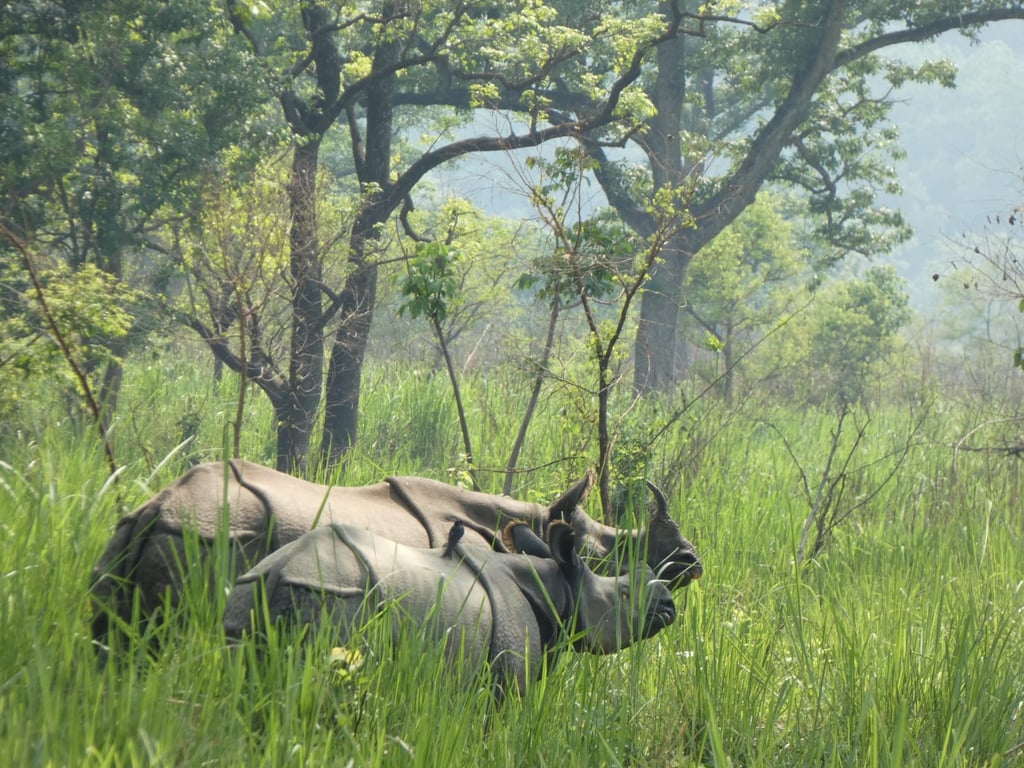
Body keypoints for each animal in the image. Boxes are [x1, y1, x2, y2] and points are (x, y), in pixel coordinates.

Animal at [223, 519, 678, 696]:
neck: (558, 587)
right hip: (337, 599)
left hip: (249, 591)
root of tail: (279, 571)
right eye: (622, 596)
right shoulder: (507, 678)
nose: (668, 603)